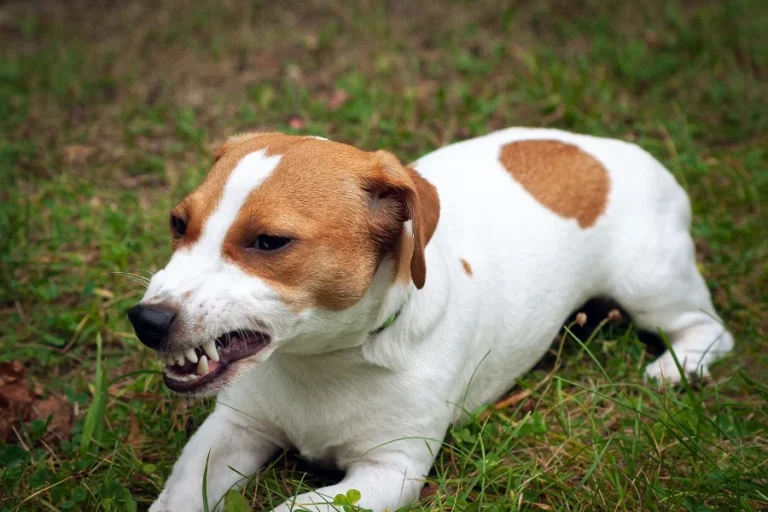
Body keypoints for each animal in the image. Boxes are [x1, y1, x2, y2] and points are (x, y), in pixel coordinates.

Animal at [129, 126, 736, 510]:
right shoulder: (233, 429)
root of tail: (623, 151)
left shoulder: (388, 472)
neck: (322, 364)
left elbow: (297, 508)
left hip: (650, 284)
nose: (146, 320)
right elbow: (180, 494)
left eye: (270, 241)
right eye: (178, 223)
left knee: (711, 329)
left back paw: (677, 366)